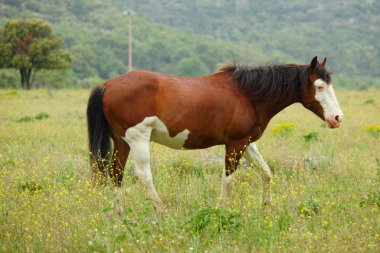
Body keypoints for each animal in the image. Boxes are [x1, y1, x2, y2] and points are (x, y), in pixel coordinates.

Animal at [86, 56, 344, 213]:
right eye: (319, 86)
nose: (337, 118)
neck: (249, 95)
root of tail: (107, 85)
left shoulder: (247, 143)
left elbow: (266, 173)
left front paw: (265, 208)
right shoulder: (235, 144)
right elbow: (228, 181)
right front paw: (221, 211)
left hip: (122, 142)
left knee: (116, 173)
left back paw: (119, 213)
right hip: (138, 140)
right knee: (143, 176)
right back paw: (162, 211)